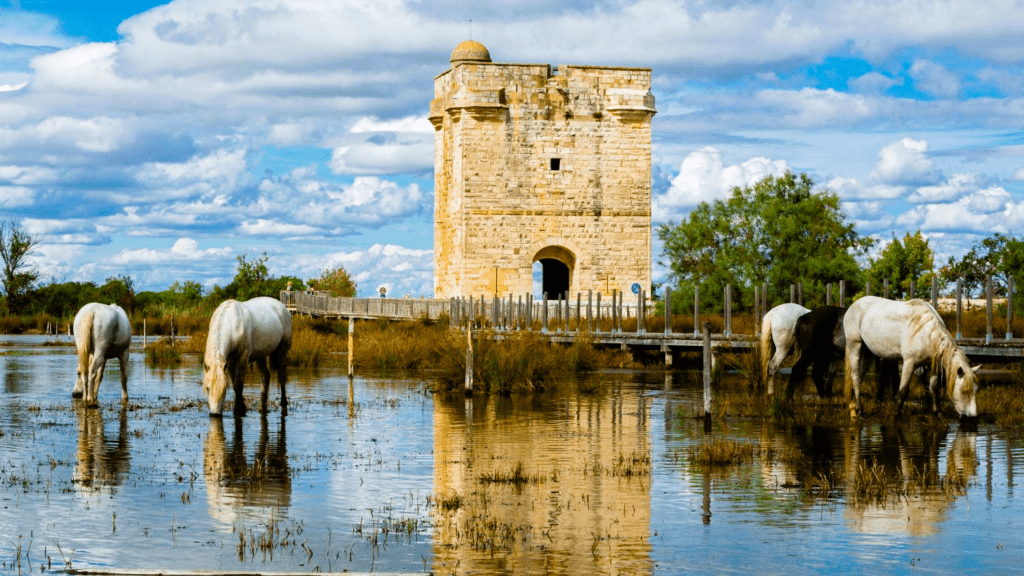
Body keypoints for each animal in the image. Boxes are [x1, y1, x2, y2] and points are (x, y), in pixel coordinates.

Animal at [843, 295, 978, 416]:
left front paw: (937, 412)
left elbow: (934, 388)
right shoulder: (909, 363)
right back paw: (859, 409)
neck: (927, 333)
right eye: (964, 391)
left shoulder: (930, 365)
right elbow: (903, 390)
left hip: (869, 353)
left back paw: (853, 407)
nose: (972, 416)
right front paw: (897, 414)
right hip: (855, 345)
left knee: (859, 377)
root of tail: (853, 306)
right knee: (855, 377)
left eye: (976, 390)